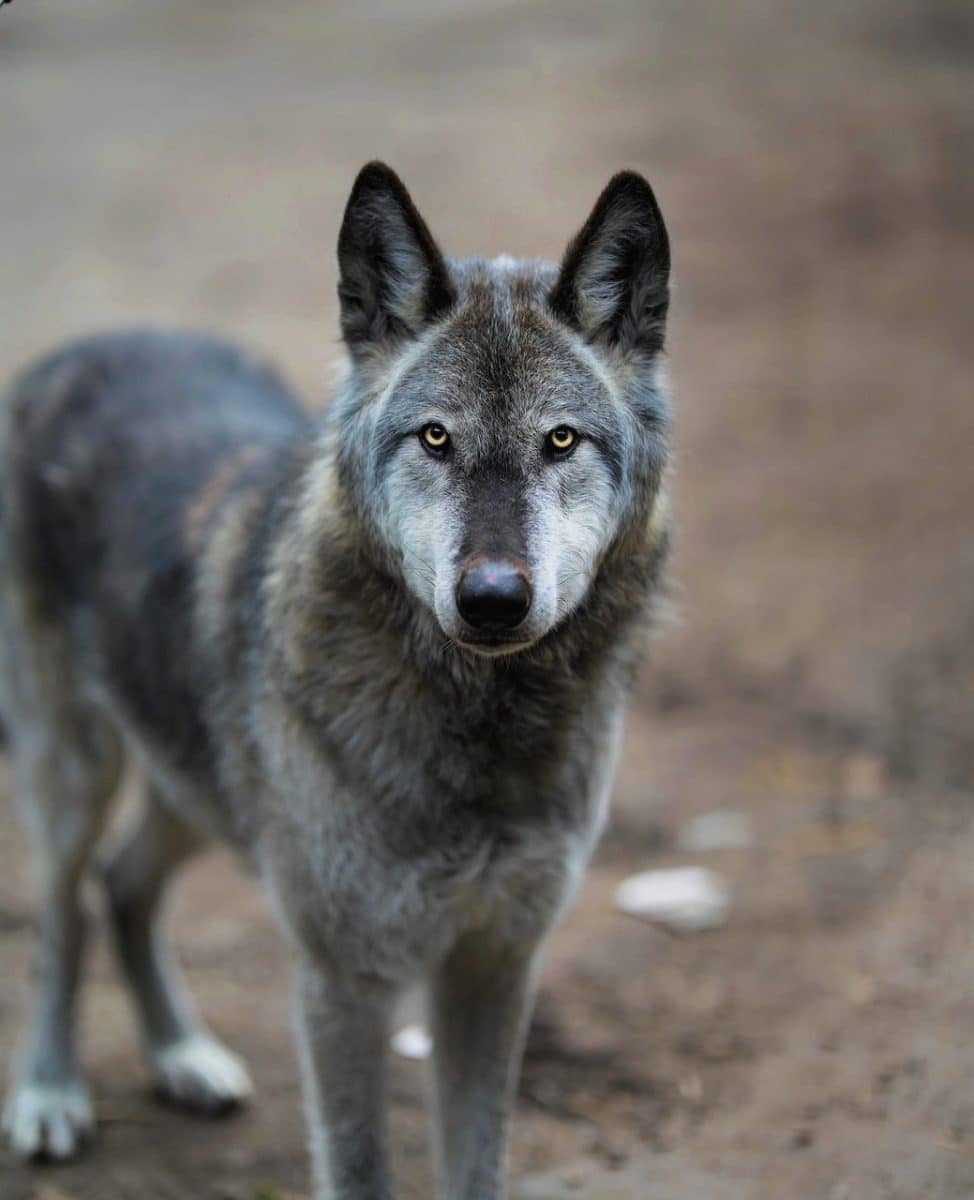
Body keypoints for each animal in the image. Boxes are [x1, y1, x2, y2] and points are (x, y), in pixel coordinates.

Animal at [0, 162, 671, 1198]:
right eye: (434, 439)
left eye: (562, 442)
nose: (492, 600)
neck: (480, 729)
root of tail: (76, 350)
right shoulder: (343, 984)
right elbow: (359, 1168)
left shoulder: (495, 964)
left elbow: (476, 1166)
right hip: (73, 770)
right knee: (63, 911)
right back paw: (49, 1093)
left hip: (197, 785)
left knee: (124, 883)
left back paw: (182, 1057)